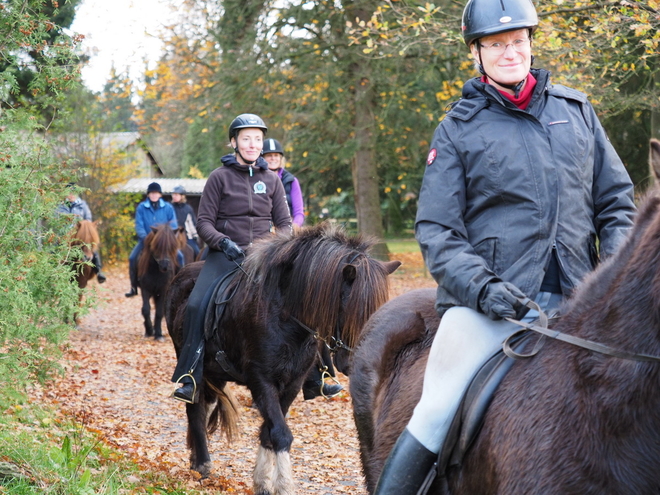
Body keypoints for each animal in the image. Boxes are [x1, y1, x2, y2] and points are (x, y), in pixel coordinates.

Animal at [165, 224, 402, 495]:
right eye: (350, 308)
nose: (355, 363)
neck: (284, 315)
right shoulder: (261, 380)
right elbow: (280, 433)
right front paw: (284, 485)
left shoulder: (292, 383)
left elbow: (269, 432)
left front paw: (263, 482)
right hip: (194, 365)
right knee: (194, 408)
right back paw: (202, 465)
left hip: (216, 373)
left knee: (204, 407)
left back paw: (197, 460)